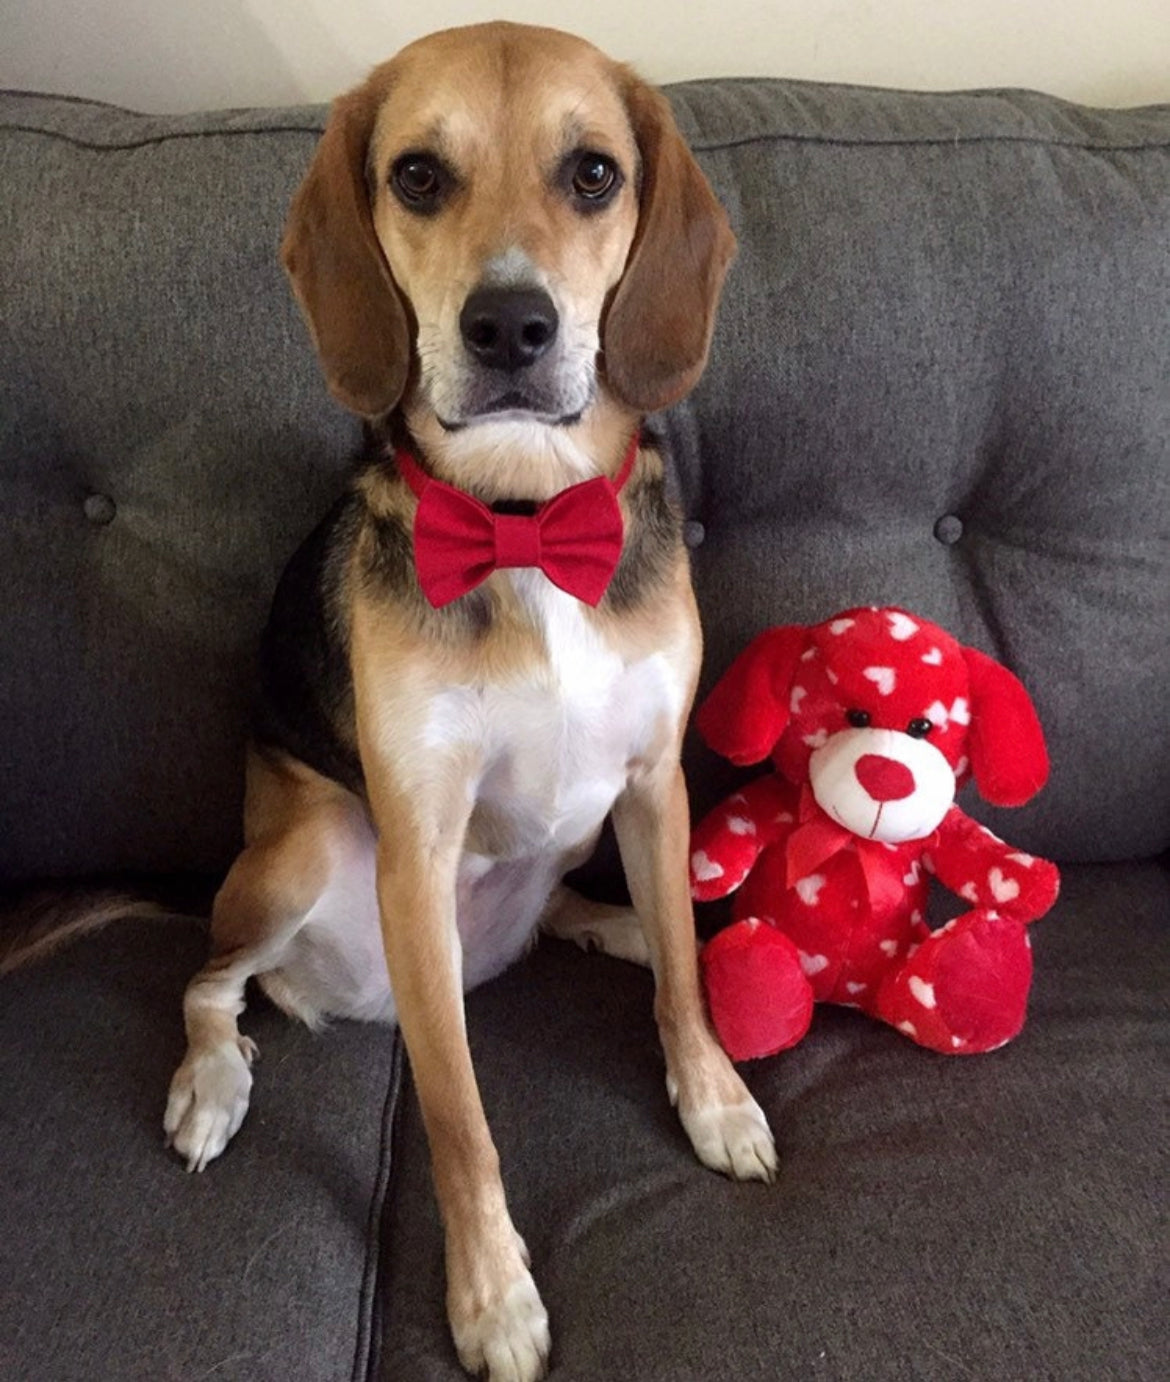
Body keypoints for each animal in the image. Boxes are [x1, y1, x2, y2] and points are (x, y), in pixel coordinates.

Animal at [160, 21, 773, 1382]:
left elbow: (684, 991)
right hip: (306, 850)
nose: (508, 325)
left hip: (578, 840)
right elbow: (459, 1122)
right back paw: (212, 1084)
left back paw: (629, 924)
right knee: (210, 983)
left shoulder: (655, 780)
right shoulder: (418, 845)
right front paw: (492, 1295)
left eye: (594, 173)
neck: (526, 518)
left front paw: (714, 1093)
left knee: (598, 922)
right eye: (418, 176)